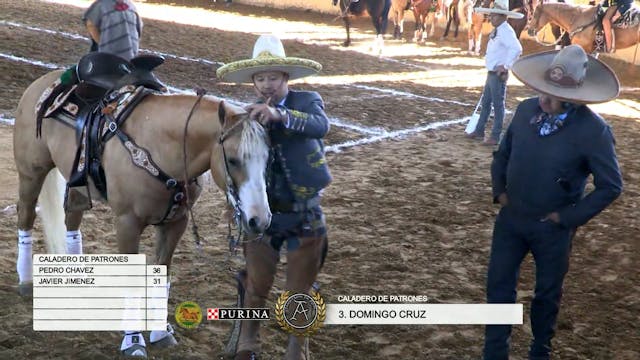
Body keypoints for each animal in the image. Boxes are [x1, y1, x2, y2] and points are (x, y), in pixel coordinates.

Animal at [14, 69, 270, 358]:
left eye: (267, 159)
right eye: (234, 160)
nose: (260, 219)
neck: (159, 145)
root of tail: (43, 81)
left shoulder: (176, 223)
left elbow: (163, 277)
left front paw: (161, 332)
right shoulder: (127, 223)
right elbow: (132, 283)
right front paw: (133, 340)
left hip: (76, 184)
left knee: (72, 222)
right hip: (31, 172)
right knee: (25, 215)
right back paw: (25, 280)